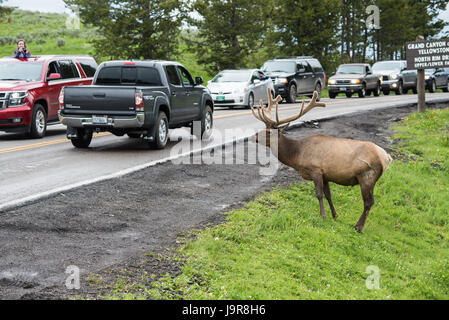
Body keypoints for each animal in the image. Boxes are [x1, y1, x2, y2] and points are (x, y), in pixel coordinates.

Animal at [252, 89, 392, 231]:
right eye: (264, 127)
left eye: (269, 132)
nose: (254, 136)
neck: (297, 155)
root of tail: (387, 158)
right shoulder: (326, 175)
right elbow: (328, 195)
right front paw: (335, 215)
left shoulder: (316, 170)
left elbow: (319, 194)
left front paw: (323, 216)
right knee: (369, 201)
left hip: (367, 176)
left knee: (369, 202)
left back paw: (358, 227)